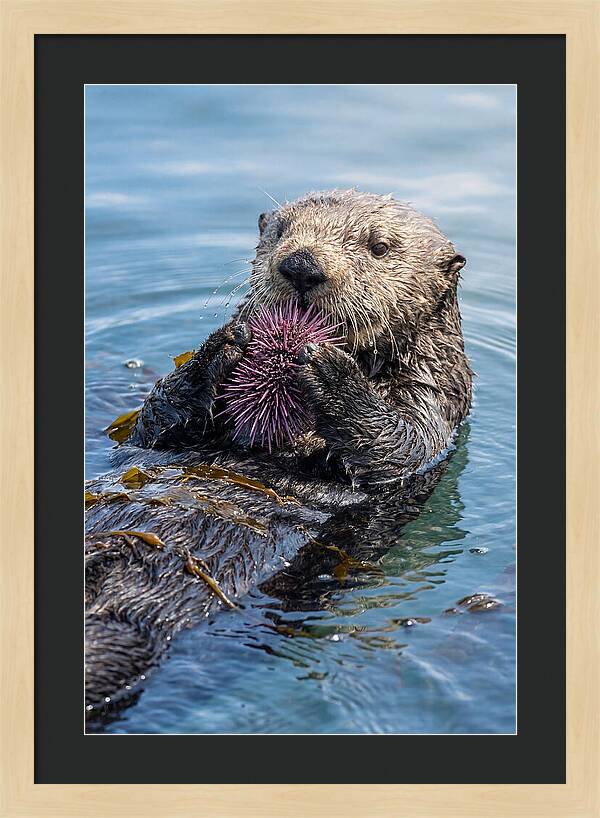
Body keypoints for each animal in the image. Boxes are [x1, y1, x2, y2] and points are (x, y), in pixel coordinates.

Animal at [85, 189, 472, 723]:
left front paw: (331, 372)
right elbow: (153, 424)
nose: (301, 266)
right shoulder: (157, 434)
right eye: (281, 231)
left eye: (379, 247)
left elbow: (400, 446)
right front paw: (221, 347)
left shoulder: (434, 402)